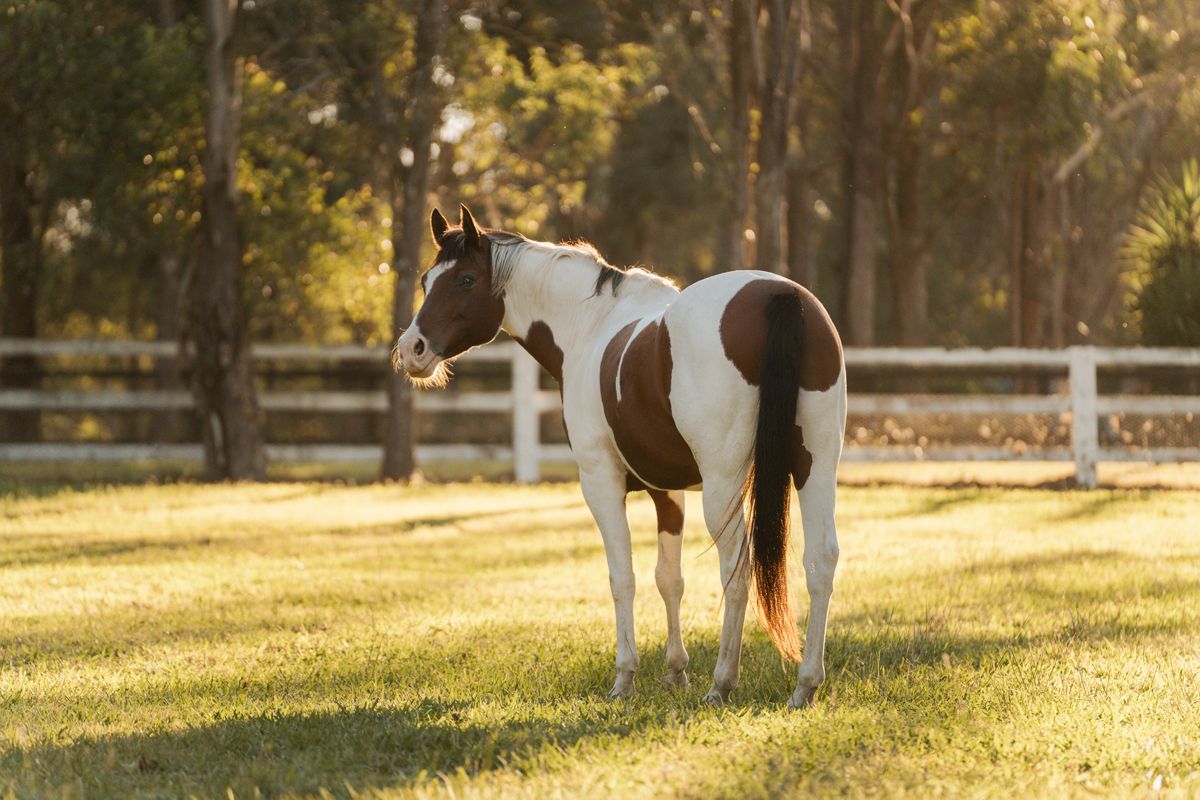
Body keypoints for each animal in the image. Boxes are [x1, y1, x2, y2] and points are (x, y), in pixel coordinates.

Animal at [393, 205, 846, 707]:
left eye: (467, 280)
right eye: (427, 280)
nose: (411, 350)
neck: (590, 326)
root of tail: (781, 295)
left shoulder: (601, 482)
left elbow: (621, 576)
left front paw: (625, 677)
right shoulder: (667, 490)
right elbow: (669, 578)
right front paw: (675, 672)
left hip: (724, 485)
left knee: (738, 568)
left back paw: (722, 682)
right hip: (815, 466)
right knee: (821, 559)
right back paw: (805, 684)